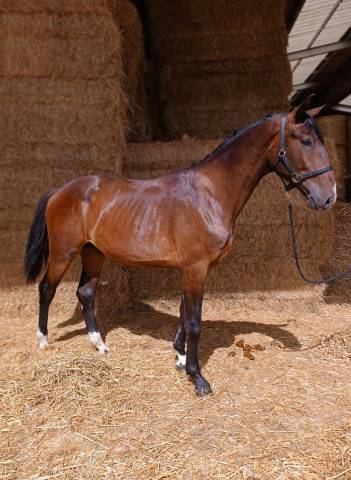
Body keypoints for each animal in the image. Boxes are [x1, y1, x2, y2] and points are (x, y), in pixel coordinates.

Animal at [25, 105, 338, 398]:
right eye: (306, 141)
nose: (329, 197)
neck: (209, 194)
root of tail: (59, 191)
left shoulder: (191, 269)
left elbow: (183, 313)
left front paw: (180, 357)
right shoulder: (196, 268)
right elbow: (194, 322)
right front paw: (197, 378)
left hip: (93, 253)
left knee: (86, 293)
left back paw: (100, 345)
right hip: (63, 254)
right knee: (46, 290)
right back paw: (42, 341)